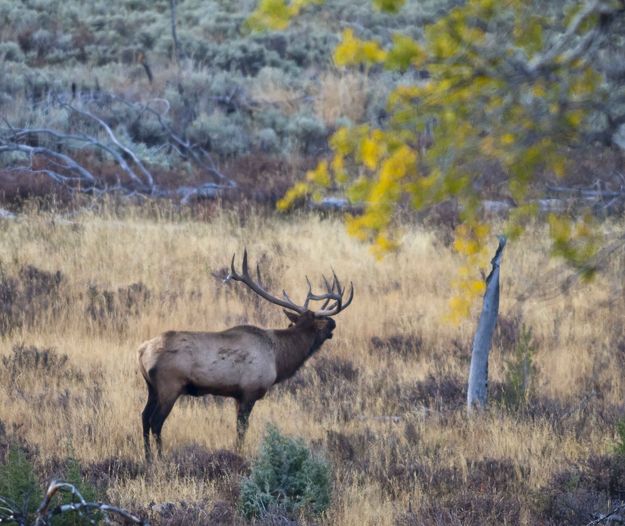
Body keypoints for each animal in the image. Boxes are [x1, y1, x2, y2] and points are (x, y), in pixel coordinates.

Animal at [136, 252, 352, 462]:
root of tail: (142, 350)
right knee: (156, 421)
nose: (334, 323)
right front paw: (239, 454)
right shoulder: (250, 391)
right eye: (322, 321)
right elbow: (242, 429)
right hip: (169, 386)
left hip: (152, 387)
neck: (279, 359)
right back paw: (161, 459)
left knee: (144, 416)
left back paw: (148, 458)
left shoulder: (237, 395)